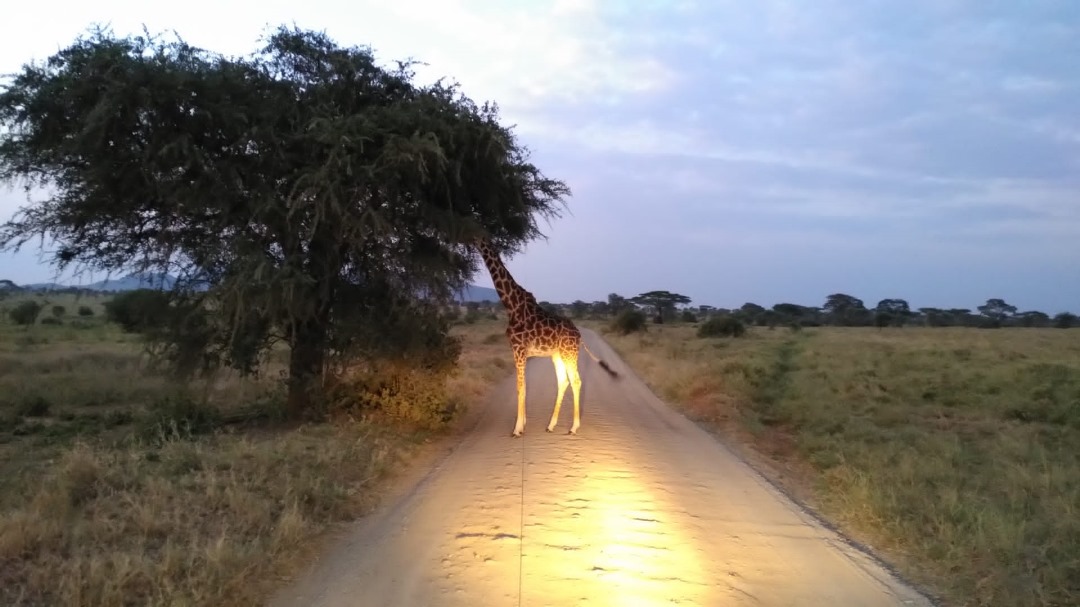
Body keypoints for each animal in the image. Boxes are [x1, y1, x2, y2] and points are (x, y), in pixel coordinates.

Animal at [474, 238, 619, 437]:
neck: (511, 305)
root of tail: (579, 335)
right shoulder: (520, 352)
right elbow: (524, 387)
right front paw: (523, 425)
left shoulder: (518, 349)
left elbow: (520, 388)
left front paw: (517, 429)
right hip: (557, 355)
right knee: (563, 381)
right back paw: (551, 425)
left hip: (569, 353)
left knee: (576, 381)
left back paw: (573, 428)